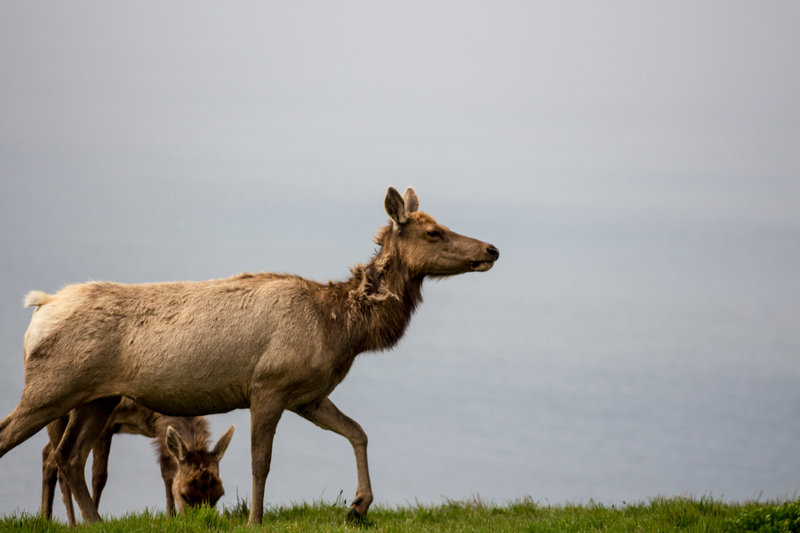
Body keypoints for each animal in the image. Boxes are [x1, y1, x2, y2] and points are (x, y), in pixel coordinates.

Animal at [40, 396, 234, 520]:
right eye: (185, 495)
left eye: (219, 495)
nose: (200, 521)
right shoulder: (106, 425)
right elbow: (99, 476)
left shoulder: (158, 432)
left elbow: (167, 473)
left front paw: (171, 517)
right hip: (58, 416)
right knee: (59, 462)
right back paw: (72, 523)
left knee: (47, 455)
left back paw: (45, 519)